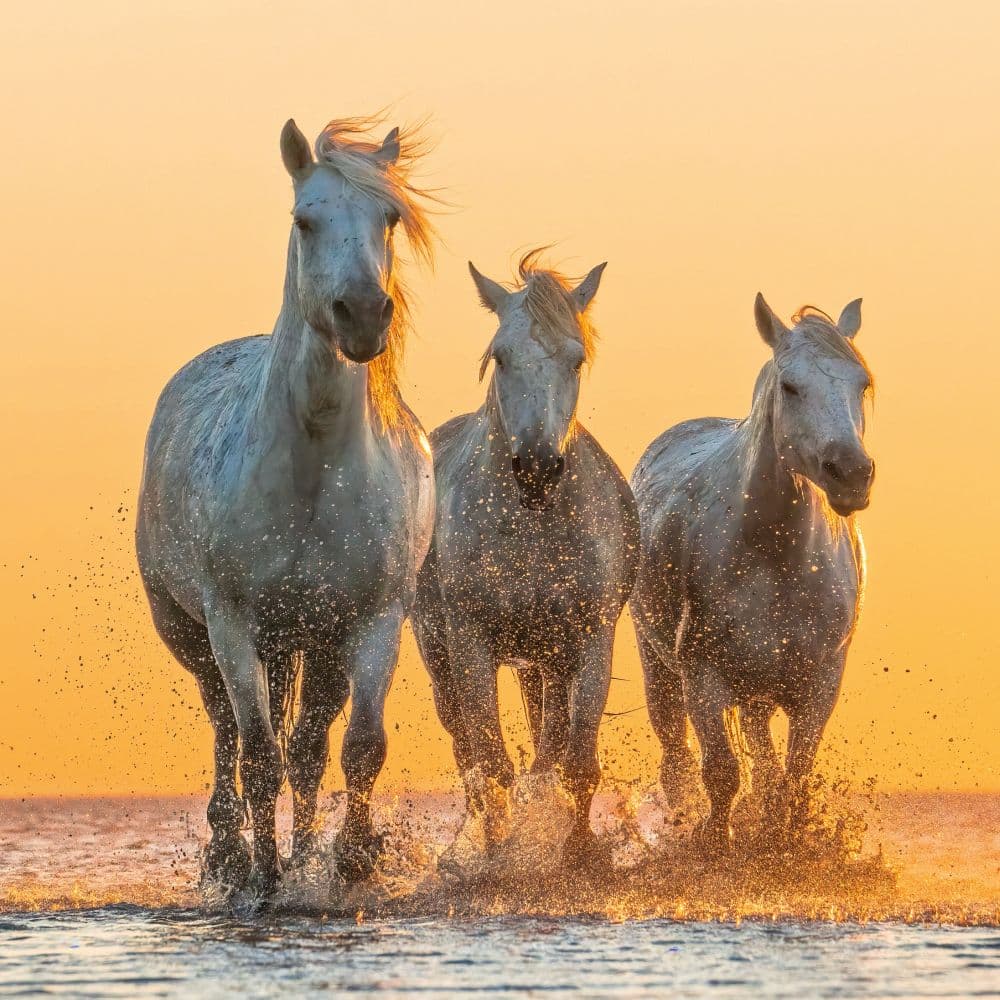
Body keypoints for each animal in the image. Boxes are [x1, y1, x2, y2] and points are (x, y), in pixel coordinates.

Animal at [135, 116, 437, 896]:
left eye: (389, 219)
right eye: (306, 220)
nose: (362, 316)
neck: (313, 469)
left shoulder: (373, 620)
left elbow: (358, 747)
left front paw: (350, 861)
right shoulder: (233, 624)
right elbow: (257, 754)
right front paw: (262, 878)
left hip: (316, 643)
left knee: (307, 747)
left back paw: (304, 856)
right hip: (197, 636)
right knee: (228, 732)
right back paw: (229, 856)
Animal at [411, 252, 640, 864]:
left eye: (576, 359)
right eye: (499, 356)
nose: (537, 468)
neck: (534, 529)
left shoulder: (589, 641)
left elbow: (575, 761)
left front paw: (578, 851)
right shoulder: (471, 643)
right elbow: (491, 763)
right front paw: (501, 855)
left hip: (545, 661)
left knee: (548, 742)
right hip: (442, 654)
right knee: (468, 752)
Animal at [629, 294, 875, 849]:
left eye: (861, 383)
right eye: (790, 386)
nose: (851, 473)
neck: (776, 557)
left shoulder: (820, 681)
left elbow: (792, 776)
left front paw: (781, 845)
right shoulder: (703, 676)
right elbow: (721, 771)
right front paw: (715, 844)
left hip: (760, 689)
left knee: (763, 758)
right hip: (661, 667)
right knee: (676, 759)